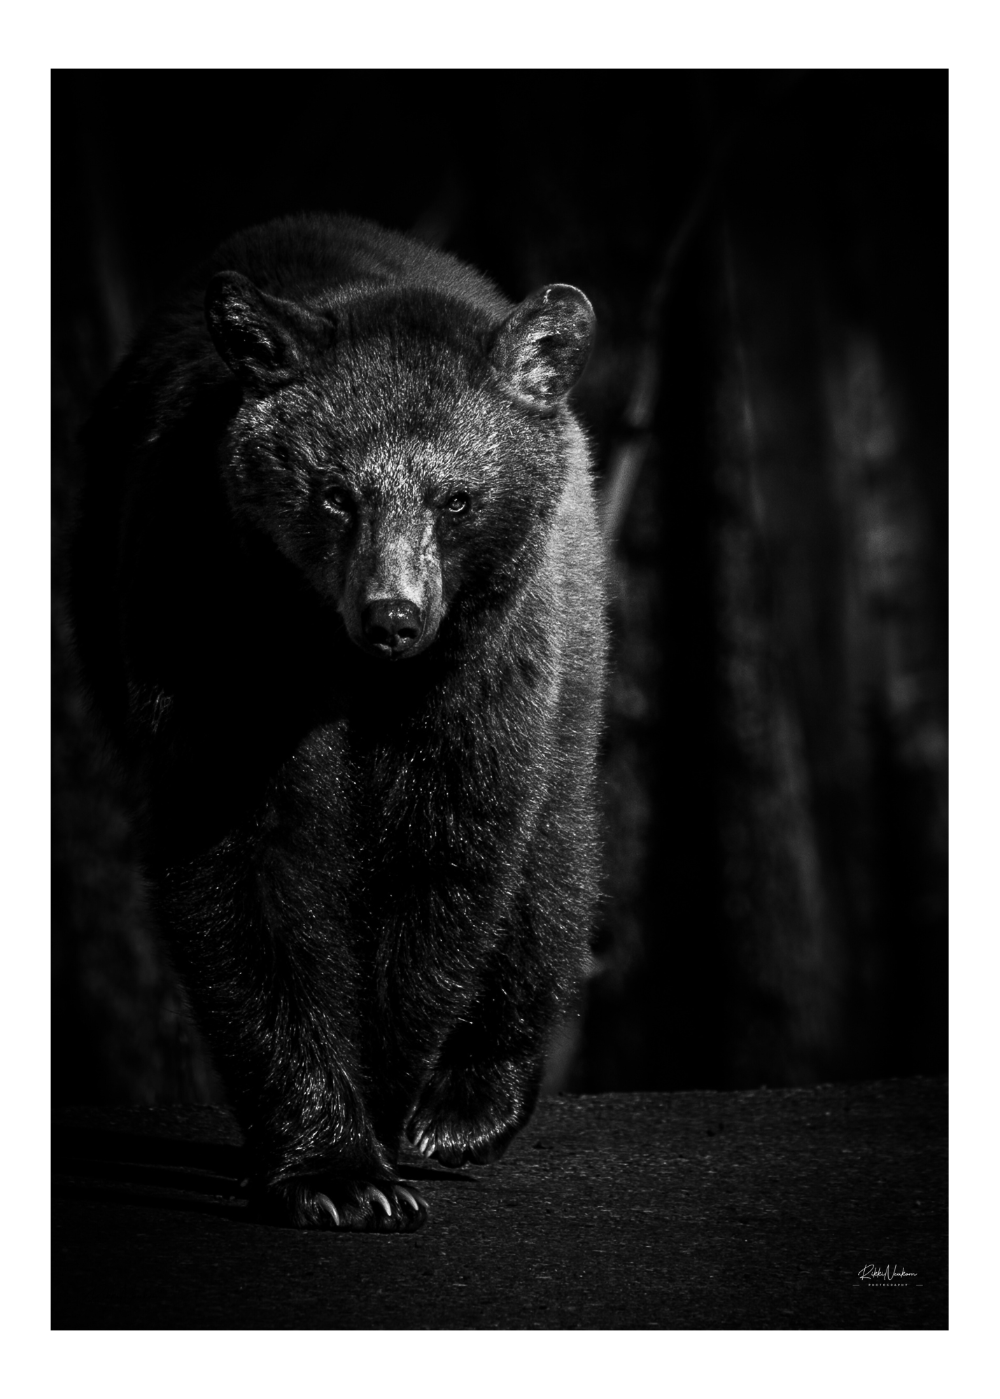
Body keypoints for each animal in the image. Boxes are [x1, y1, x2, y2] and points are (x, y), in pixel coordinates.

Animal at [69, 213, 606, 1231]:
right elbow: (245, 846)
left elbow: (446, 846)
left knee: (554, 838)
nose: (392, 616)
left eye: (458, 498)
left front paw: (392, 1116)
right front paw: (333, 1167)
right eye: (335, 492)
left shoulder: (484, 658)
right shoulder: (205, 605)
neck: (340, 662)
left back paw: (467, 1106)